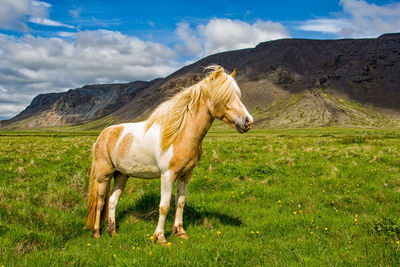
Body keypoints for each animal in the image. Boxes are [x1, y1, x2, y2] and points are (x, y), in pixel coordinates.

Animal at [84, 65, 253, 245]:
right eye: (224, 96)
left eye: (238, 95)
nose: (248, 121)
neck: (180, 133)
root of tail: (103, 134)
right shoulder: (167, 175)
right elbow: (164, 206)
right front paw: (160, 237)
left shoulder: (185, 175)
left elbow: (180, 202)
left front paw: (180, 231)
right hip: (103, 176)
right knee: (100, 202)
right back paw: (96, 232)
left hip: (122, 175)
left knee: (112, 201)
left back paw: (113, 231)